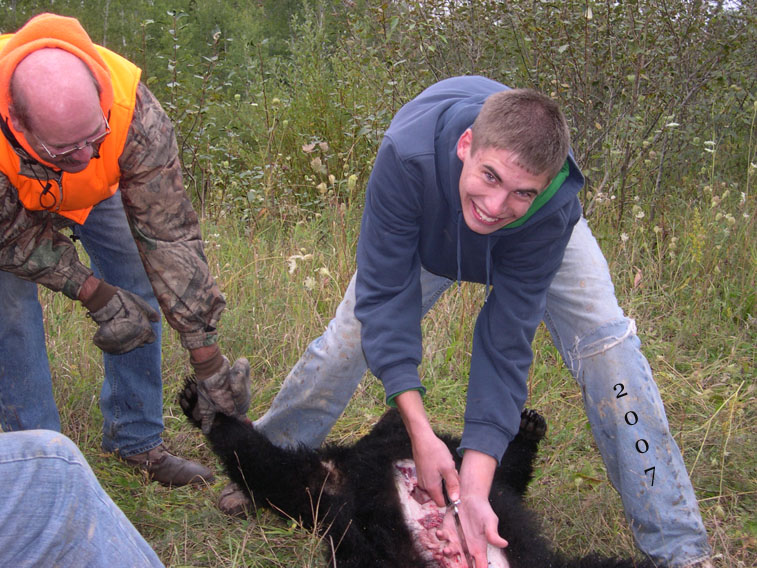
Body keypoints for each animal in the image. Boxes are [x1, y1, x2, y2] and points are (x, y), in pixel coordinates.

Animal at [180, 378, 652, 568]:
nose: (394, 406)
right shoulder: (338, 482)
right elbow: (277, 473)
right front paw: (203, 406)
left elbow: (504, 478)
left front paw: (528, 425)